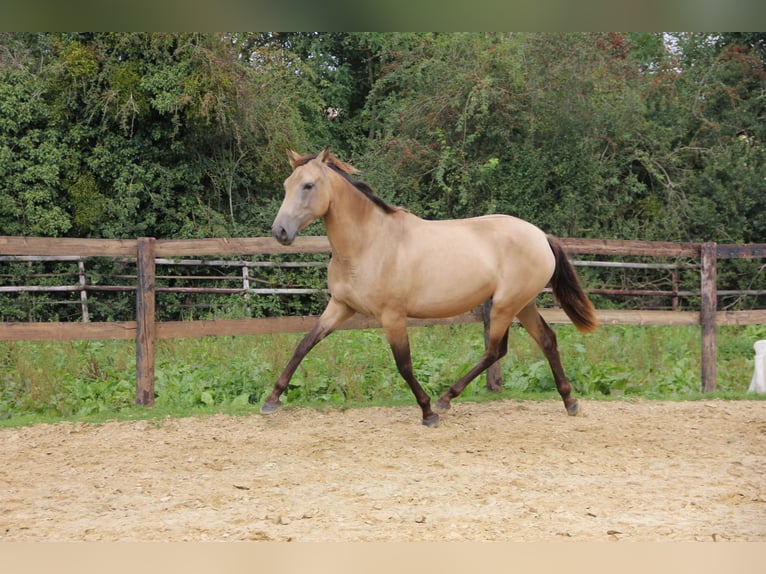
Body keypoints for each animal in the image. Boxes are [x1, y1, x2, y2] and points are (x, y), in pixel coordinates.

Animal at [264, 148, 600, 428]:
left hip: (506, 305)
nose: (280, 232)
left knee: (495, 350)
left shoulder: (392, 316)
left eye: (308, 185)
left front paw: (427, 412)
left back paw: (444, 399)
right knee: (546, 340)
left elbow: (404, 364)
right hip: (522, 304)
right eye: (286, 184)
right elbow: (305, 344)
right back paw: (569, 400)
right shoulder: (341, 306)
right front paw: (272, 400)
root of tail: (541, 236)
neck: (369, 243)